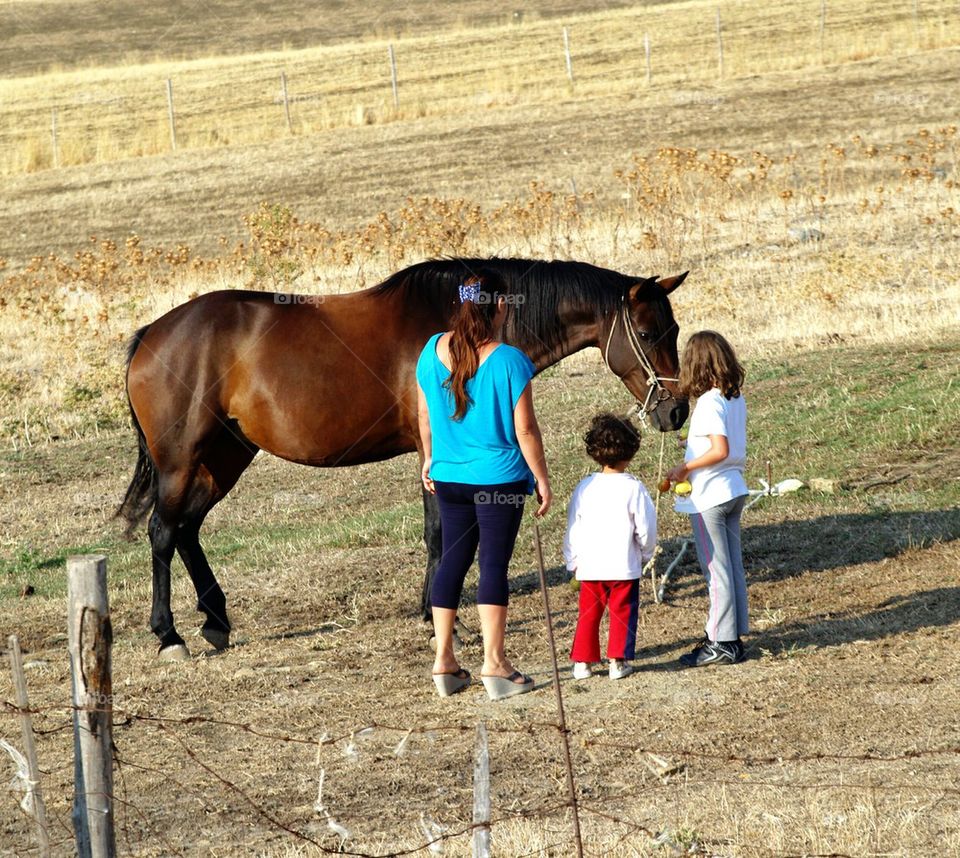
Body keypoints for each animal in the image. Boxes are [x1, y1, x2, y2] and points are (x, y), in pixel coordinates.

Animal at [120, 254, 688, 656]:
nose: (677, 410)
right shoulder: (437, 454)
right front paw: (440, 619)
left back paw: (215, 621)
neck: (464, 328)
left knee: (187, 530)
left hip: (225, 456)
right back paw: (169, 634)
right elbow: (441, 534)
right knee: (164, 531)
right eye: (646, 332)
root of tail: (152, 334)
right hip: (181, 459)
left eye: (675, 330)